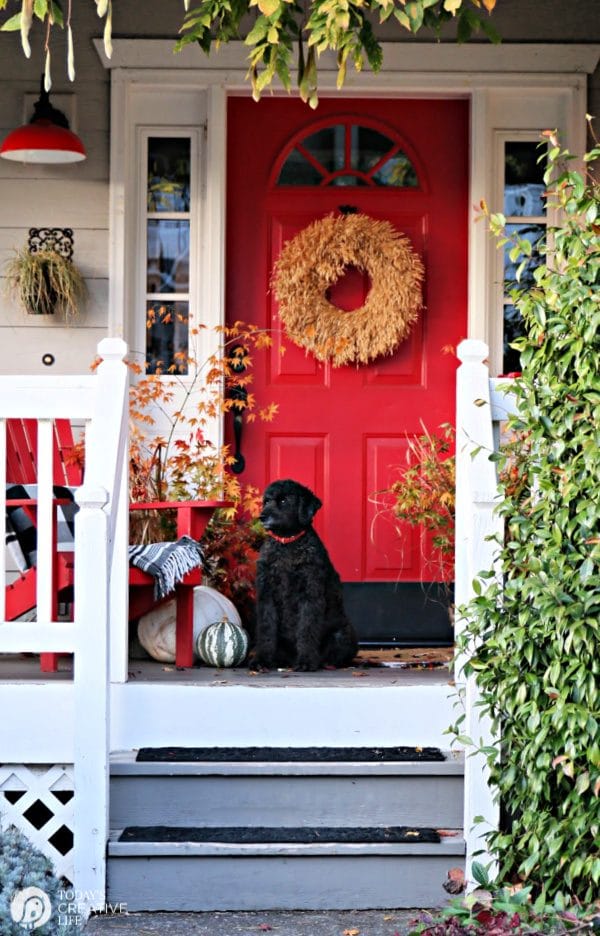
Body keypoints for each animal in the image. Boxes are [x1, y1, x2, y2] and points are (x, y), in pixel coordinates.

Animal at [252, 478, 358, 668]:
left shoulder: (310, 595)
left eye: (284, 500)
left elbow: (306, 628)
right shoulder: (266, 596)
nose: (262, 516)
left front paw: (306, 660)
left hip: (343, 634)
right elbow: (266, 629)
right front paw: (262, 659)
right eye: (266, 501)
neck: (287, 543)